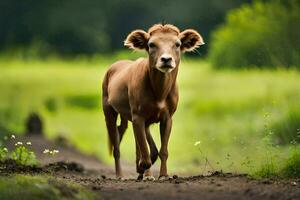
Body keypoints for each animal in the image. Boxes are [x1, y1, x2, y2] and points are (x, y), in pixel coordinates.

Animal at [102, 23, 203, 180]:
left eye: (177, 44)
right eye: (151, 44)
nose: (166, 59)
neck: (159, 93)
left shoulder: (167, 117)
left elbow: (161, 150)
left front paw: (163, 175)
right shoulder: (138, 115)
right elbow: (145, 148)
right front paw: (143, 168)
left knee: (135, 138)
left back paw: (144, 173)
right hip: (108, 109)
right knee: (116, 145)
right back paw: (121, 175)